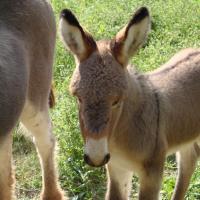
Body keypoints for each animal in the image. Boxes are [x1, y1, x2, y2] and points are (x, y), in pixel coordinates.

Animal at [59, 6, 200, 200]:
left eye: (117, 101)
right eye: (78, 98)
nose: (95, 157)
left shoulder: (152, 174)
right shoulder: (117, 168)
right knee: (189, 161)